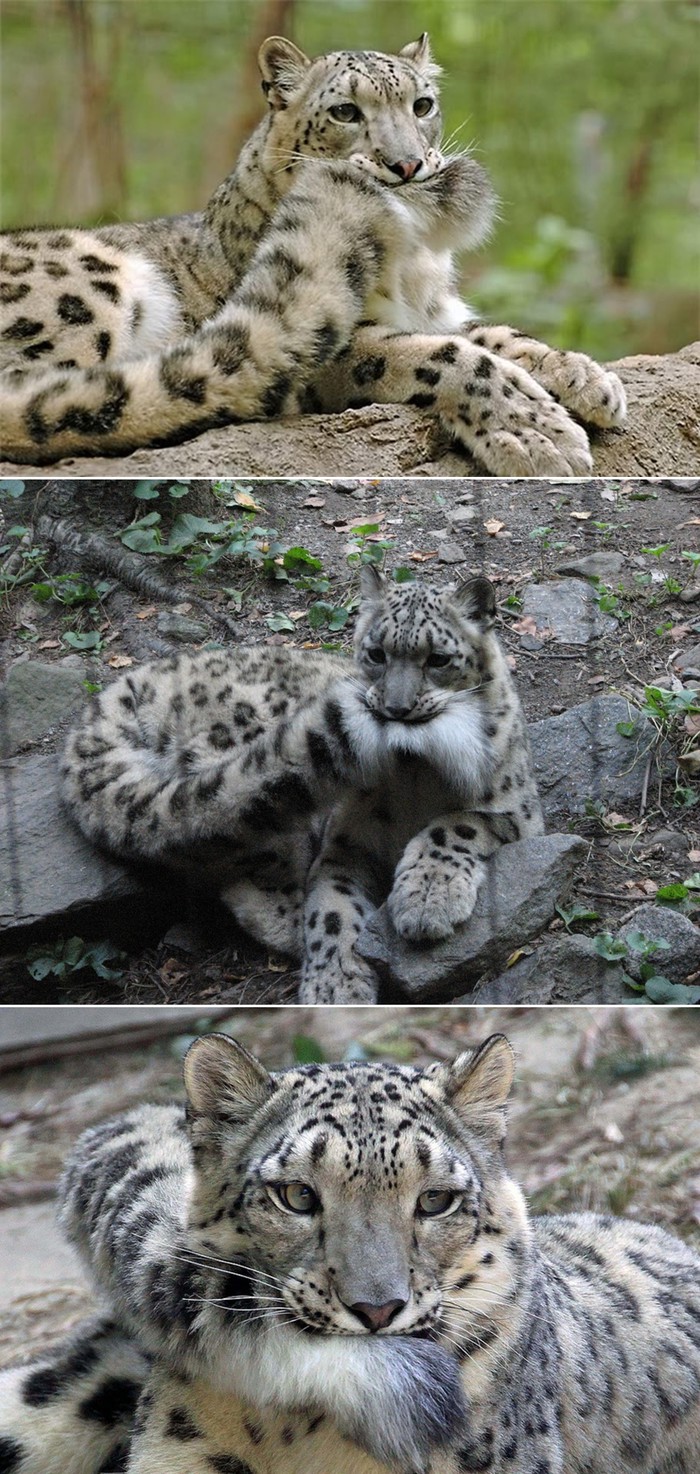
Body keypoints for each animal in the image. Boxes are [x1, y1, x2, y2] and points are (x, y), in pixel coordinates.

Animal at [0, 34, 626, 471]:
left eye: (422, 105)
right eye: (346, 112)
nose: (407, 164)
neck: (414, 264)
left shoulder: (439, 311)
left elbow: (495, 334)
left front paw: (584, 375)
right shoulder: (346, 347)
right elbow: (441, 353)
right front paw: (535, 432)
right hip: (90, 288)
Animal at [60, 567, 543, 1003]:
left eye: (439, 659)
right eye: (376, 653)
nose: (396, 708)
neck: (414, 774)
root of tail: (122, 688)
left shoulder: (520, 812)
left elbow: (458, 822)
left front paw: (426, 900)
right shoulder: (346, 844)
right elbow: (331, 910)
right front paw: (335, 987)